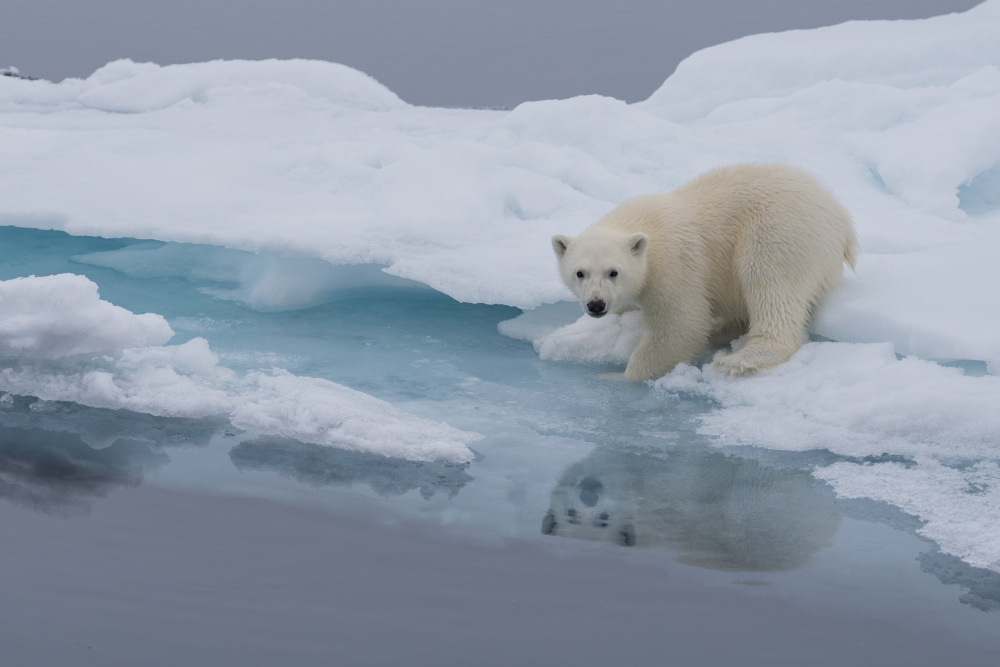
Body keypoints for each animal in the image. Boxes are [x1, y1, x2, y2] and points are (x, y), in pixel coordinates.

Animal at [551, 163, 858, 379]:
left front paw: (617, 376)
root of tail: (842, 217)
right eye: (580, 273)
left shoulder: (674, 265)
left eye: (613, 272)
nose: (596, 305)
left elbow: (681, 326)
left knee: (769, 282)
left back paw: (741, 359)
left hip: (781, 227)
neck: (644, 224)